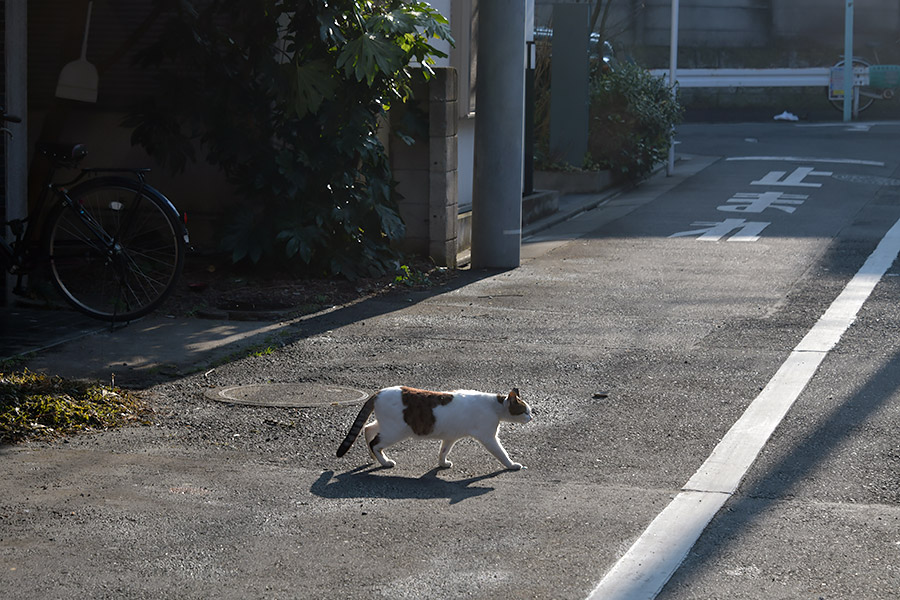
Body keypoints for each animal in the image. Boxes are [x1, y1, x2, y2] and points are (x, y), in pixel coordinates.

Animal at [338, 386, 536, 472]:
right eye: (525, 411)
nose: (532, 417)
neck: (495, 406)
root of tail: (378, 392)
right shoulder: (489, 438)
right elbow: (502, 453)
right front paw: (512, 465)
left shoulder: (450, 437)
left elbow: (443, 451)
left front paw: (442, 463)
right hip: (395, 431)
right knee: (375, 443)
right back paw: (385, 461)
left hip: (387, 426)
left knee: (367, 429)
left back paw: (373, 458)